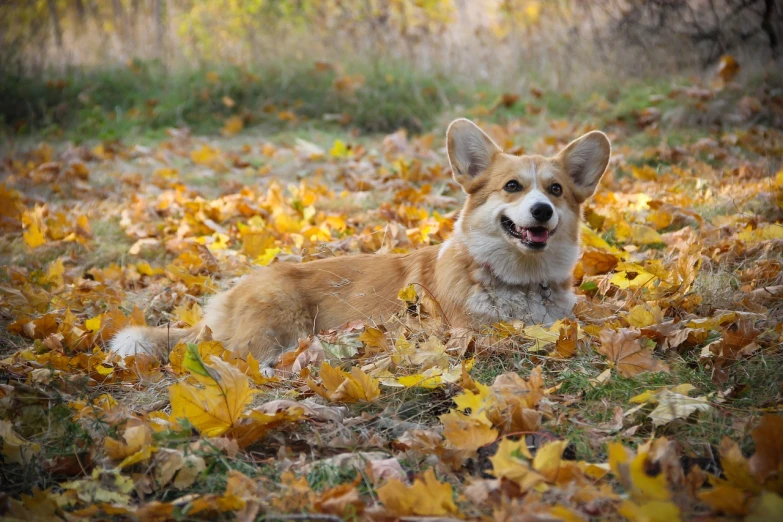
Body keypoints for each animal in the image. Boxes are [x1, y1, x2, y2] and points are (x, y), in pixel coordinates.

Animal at [110, 119, 612, 370]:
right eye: (512, 186)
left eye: (556, 190)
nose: (542, 211)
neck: (519, 281)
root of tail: (226, 297)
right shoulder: (469, 332)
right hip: (276, 329)